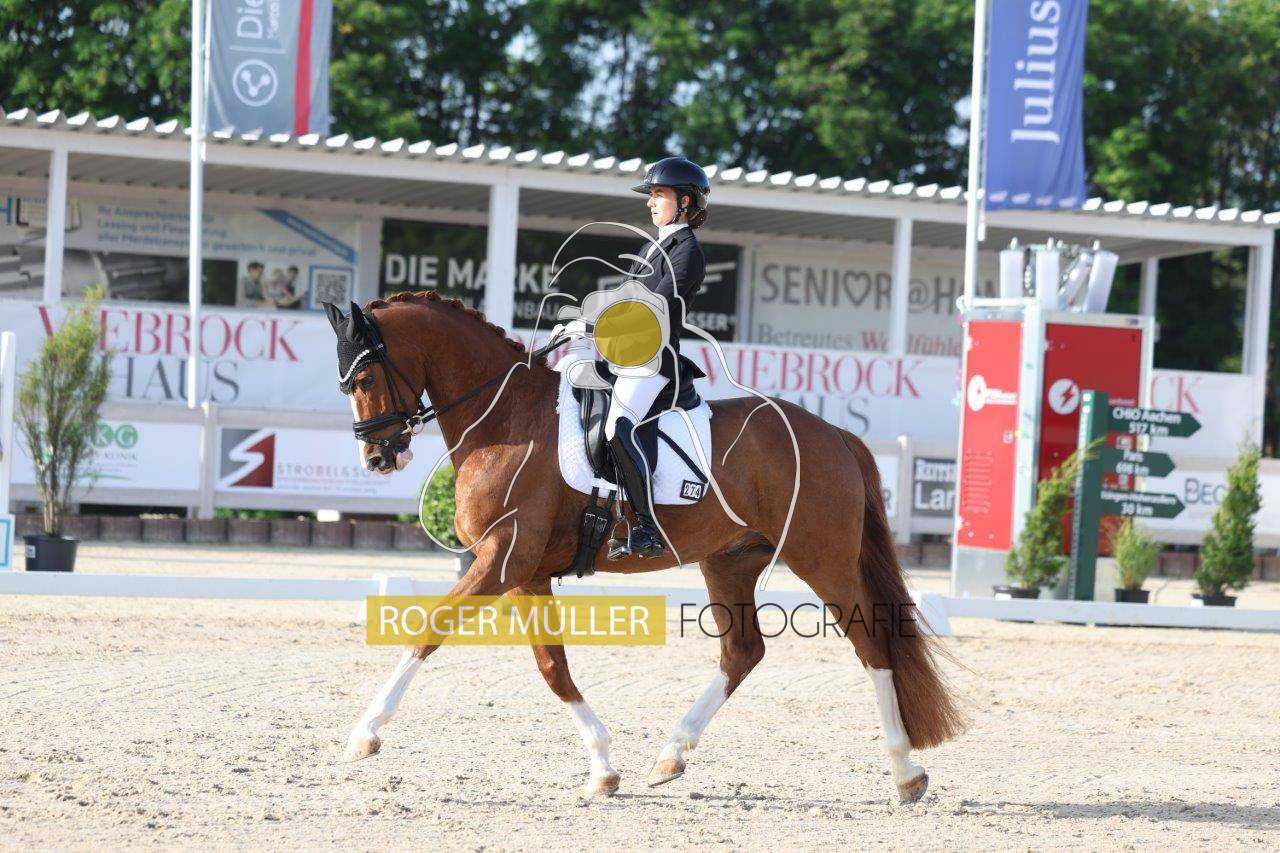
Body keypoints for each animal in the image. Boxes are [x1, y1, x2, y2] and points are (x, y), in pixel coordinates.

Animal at [327, 289, 963, 803]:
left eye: (363, 380)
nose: (378, 458)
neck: (505, 419)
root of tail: (833, 433)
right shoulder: (525, 572)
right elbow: (552, 667)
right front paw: (603, 768)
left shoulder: (503, 559)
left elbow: (429, 628)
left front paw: (365, 734)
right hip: (730, 561)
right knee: (743, 652)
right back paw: (671, 755)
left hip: (820, 558)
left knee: (872, 643)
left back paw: (905, 773)